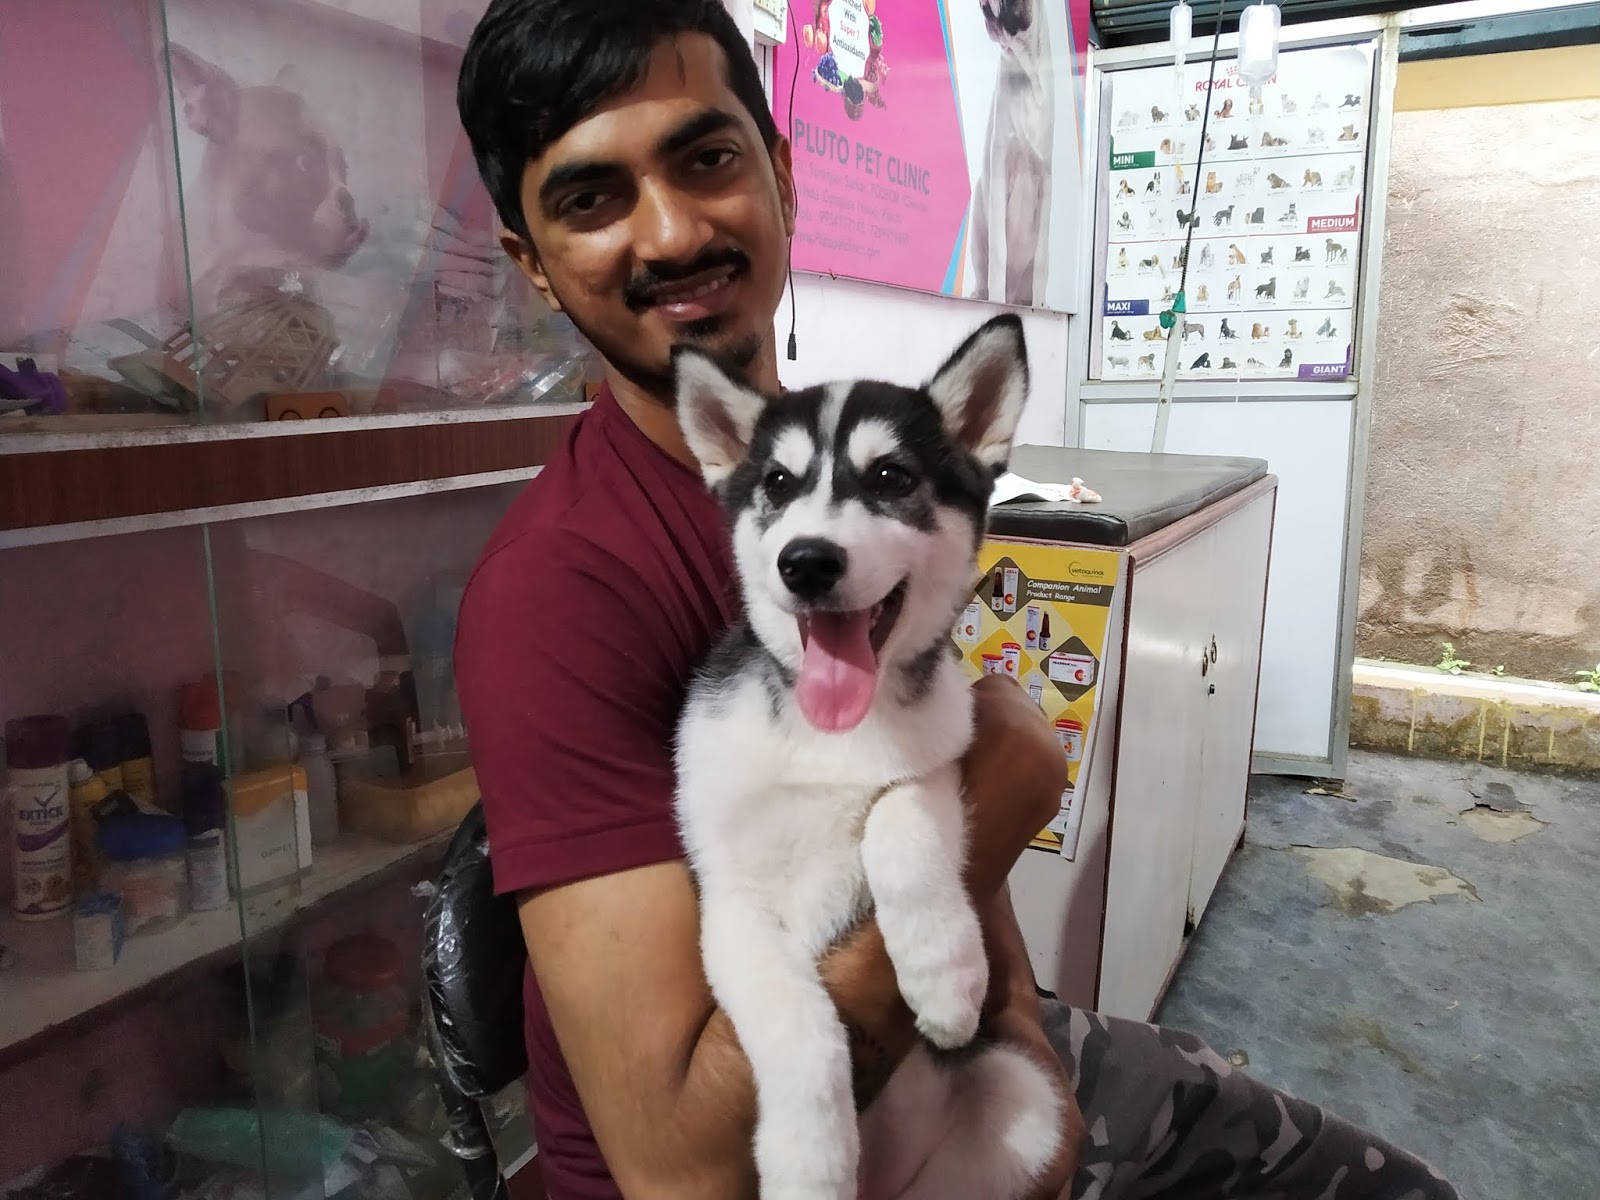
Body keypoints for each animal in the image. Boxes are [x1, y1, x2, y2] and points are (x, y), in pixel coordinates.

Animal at [672, 316, 1064, 1200]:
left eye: (891, 476)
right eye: (777, 484)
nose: (808, 562)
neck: (830, 733)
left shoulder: (942, 757)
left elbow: (899, 819)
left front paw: (943, 973)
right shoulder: (731, 903)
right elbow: (797, 1023)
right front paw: (809, 1158)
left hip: (1023, 1102)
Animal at [969, 0, 1057, 306]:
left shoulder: (1045, 182)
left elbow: (1042, 258)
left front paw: (1040, 303)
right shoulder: (999, 174)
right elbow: (999, 252)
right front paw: (995, 297)